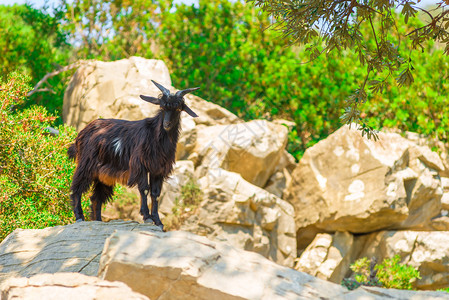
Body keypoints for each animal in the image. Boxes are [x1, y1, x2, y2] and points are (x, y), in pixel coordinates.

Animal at [67, 80, 199, 230]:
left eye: (178, 108)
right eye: (162, 107)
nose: (166, 124)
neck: (154, 136)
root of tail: (81, 134)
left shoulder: (158, 170)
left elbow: (155, 194)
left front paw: (158, 222)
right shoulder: (140, 165)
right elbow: (144, 190)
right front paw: (147, 217)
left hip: (103, 174)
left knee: (96, 198)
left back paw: (98, 221)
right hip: (86, 164)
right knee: (76, 187)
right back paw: (79, 217)